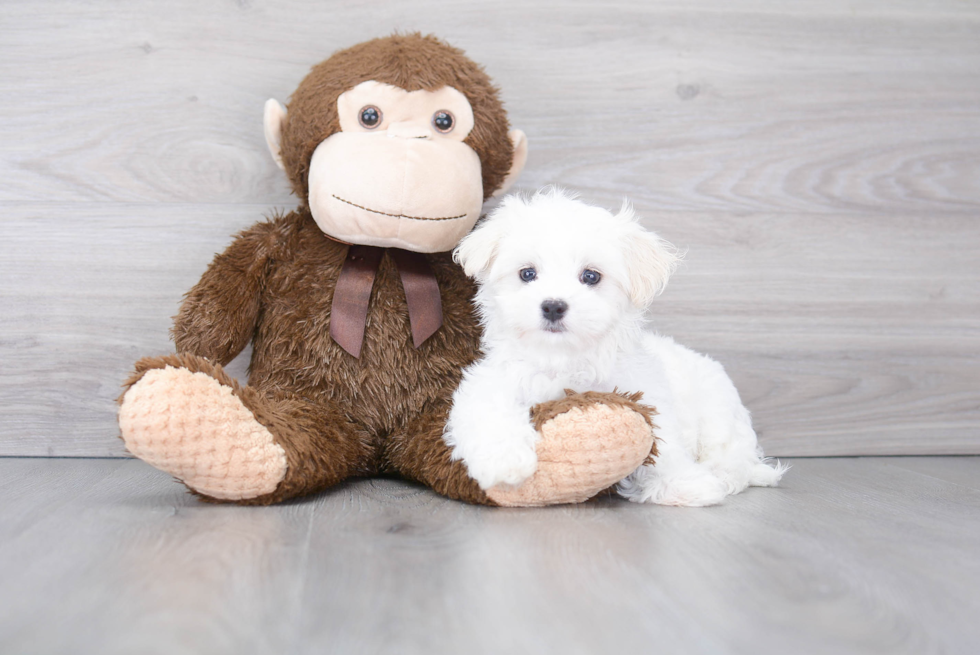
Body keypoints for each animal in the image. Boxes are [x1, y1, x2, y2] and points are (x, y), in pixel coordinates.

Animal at [448, 188, 784, 508]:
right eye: (527, 273)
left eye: (591, 276)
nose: (553, 306)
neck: (564, 357)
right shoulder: (493, 379)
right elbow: (487, 407)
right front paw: (504, 463)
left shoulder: (644, 392)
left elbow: (664, 442)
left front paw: (682, 483)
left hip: (718, 410)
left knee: (732, 457)